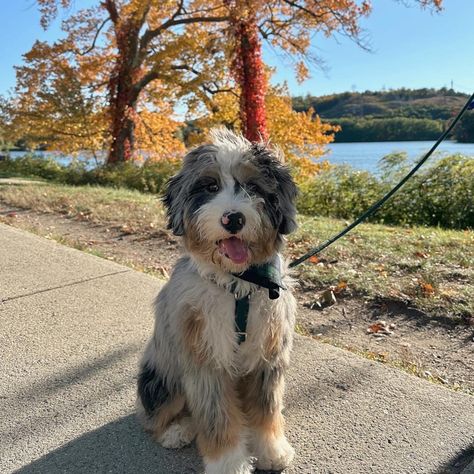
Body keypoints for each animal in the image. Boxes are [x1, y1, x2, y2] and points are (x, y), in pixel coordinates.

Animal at [135, 128, 296, 472]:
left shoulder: (268, 356)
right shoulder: (205, 359)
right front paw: (228, 463)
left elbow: (267, 407)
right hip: (161, 378)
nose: (233, 219)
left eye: (252, 186)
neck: (238, 285)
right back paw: (176, 431)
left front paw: (271, 450)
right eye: (210, 186)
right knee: (155, 417)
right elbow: (216, 416)